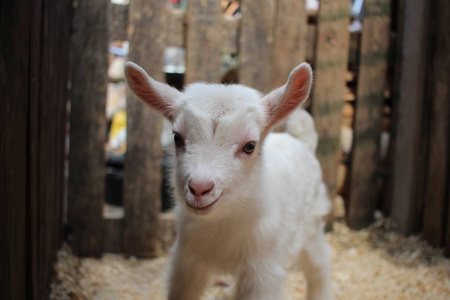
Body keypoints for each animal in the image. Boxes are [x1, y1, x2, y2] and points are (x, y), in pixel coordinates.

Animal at [125, 61, 332, 300]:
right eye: (177, 137)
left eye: (250, 146)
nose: (199, 188)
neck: (223, 221)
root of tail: (301, 141)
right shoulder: (185, 261)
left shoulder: (262, 271)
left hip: (312, 225)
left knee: (320, 265)